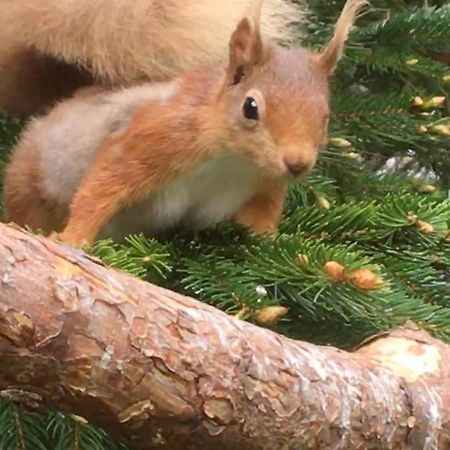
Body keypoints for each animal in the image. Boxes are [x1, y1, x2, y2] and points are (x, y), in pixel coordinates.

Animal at [1, 0, 368, 246]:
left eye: (325, 117)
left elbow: (260, 216)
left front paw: (269, 240)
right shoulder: (158, 136)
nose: (297, 163)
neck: (234, 161)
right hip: (33, 180)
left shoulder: (263, 183)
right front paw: (73, 239)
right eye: (251, 107)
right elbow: (103, 186)